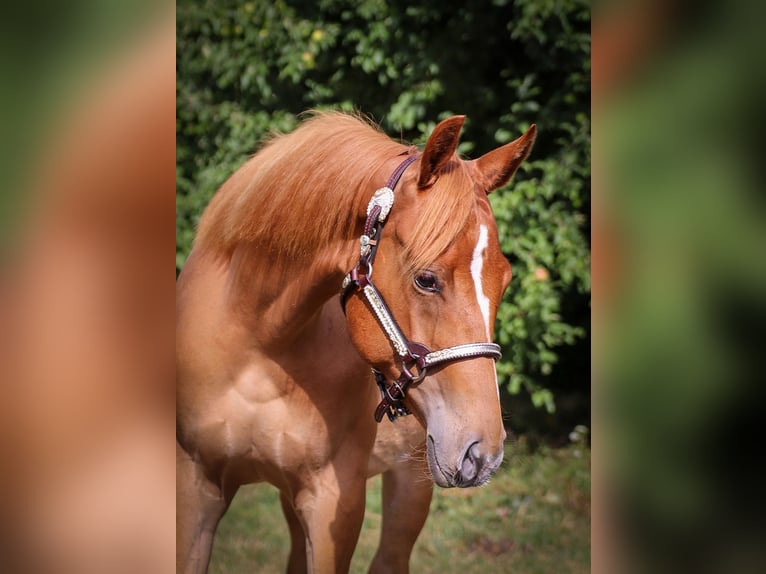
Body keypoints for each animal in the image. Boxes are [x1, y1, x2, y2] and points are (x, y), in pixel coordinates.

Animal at [176, 111, 536, 573]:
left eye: (504, 282)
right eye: (426, 279)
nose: (483, 453)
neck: (259, 344)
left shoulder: (335, 502)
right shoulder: (195, 484)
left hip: (411, 480)